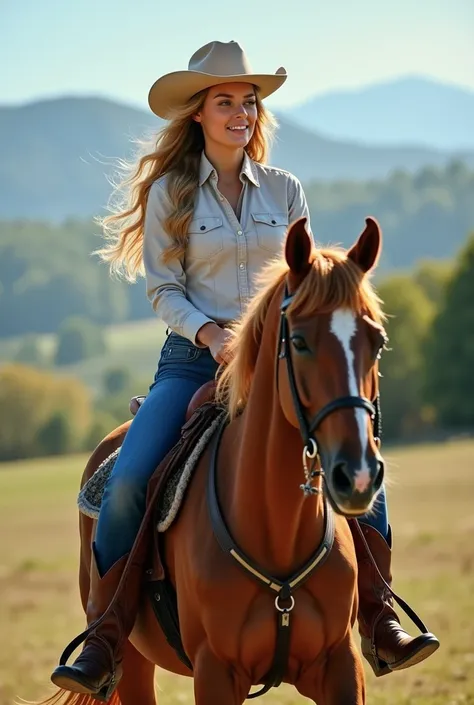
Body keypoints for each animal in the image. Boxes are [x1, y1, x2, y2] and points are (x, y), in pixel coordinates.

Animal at [36, 216, 386, 704]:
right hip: (133, 662)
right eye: (298, 341)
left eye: (377, 340)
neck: (278, 532)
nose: (357, 475)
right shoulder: (215, 672)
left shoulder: (340, 665)